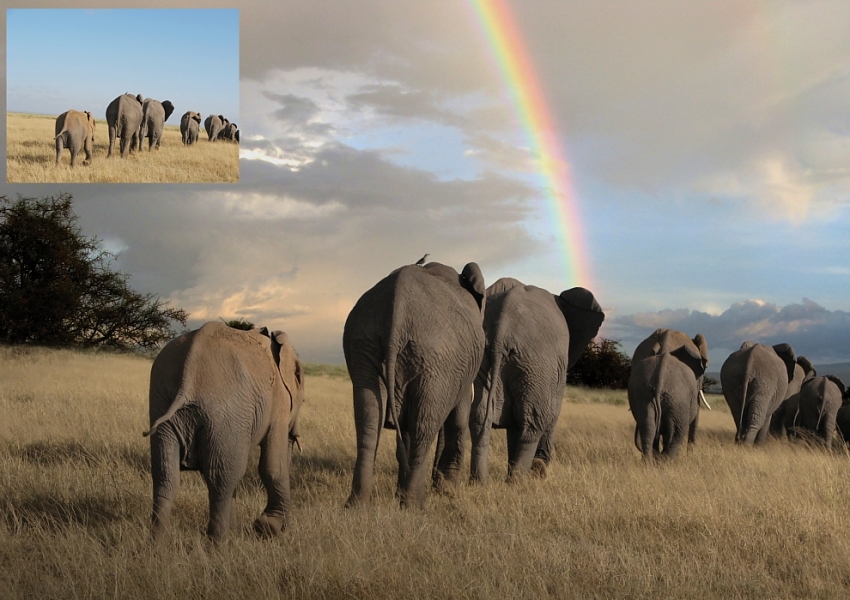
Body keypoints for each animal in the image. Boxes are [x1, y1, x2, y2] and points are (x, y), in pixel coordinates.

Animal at [144, 324, 304, 544]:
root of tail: (189, 375)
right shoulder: (278, 403)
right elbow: (272, 466)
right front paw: (269, 529)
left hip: (164, 406)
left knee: (166, 476)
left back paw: (158, 545)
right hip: (226, 414)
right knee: (221, 480)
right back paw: (218, 546)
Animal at [340, 260, 484, 508]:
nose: (438, 483)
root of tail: (397, 308)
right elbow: (458, 417)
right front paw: (448, 491)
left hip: (363, 344)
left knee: (369, 417)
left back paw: (357, 505)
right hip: (438, 360)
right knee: (423, 425)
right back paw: (414, 505)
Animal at [470, 278, 604, 480]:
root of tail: (502, 329)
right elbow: (553, 413)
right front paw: (538, 470)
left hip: (487, 359)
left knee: (480, 417)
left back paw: (480, 481)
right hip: (536, 363)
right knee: (534, 422)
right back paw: (519, 481)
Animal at [628, 330, 704, 462]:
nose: (690, 455)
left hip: (644, 394)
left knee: (648, 428)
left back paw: (649, 463)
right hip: (677, 400)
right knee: (675, 434)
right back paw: (666, 463)